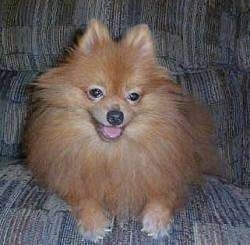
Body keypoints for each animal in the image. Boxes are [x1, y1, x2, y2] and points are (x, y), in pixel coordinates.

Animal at [23, 19, 219, 241]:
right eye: (96, 92)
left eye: (133, 96)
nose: (115, 116)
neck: (112, 152)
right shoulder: (69, 179)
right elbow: (85, 198)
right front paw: (94, 222)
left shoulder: (170, 172)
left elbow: (163, 194)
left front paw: (157, 219)